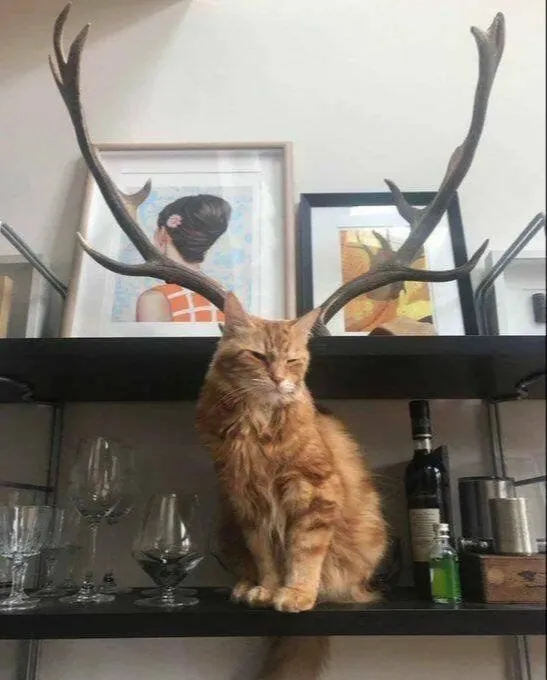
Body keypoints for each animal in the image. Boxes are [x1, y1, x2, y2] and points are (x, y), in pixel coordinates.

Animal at [196, 292, 387, 680]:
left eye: (292, 360)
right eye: (258, 356)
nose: (278, 379)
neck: (256, 427)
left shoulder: (315, 493)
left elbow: (304, 553)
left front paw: (297, 592)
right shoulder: (247, 503)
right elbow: (265, 557)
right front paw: (267, 590)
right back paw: (245, 587)